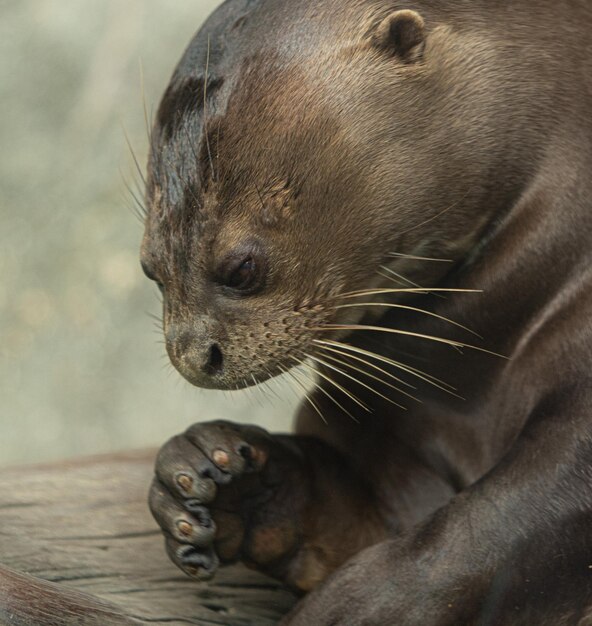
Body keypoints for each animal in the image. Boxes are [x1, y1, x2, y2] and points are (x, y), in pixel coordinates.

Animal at [142, 2, 592, 620]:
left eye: (242, 268)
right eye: (150, 269)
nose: (189, 355)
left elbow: (491, 530)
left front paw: (351, 609)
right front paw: (220, 475)